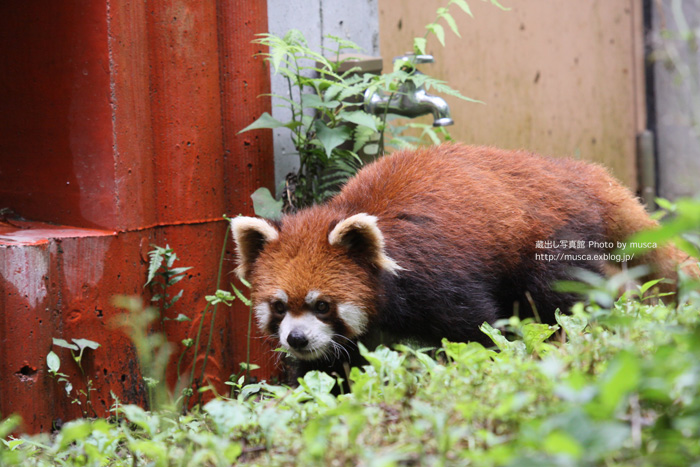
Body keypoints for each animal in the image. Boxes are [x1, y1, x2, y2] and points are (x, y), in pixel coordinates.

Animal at [232, 143, 696, 376]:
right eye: (279, 306)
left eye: (323, 304)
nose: (297, 339)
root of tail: (579, 175)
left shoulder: (440, 278)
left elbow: (477, 332)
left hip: (549, 246)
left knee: (566, 298)